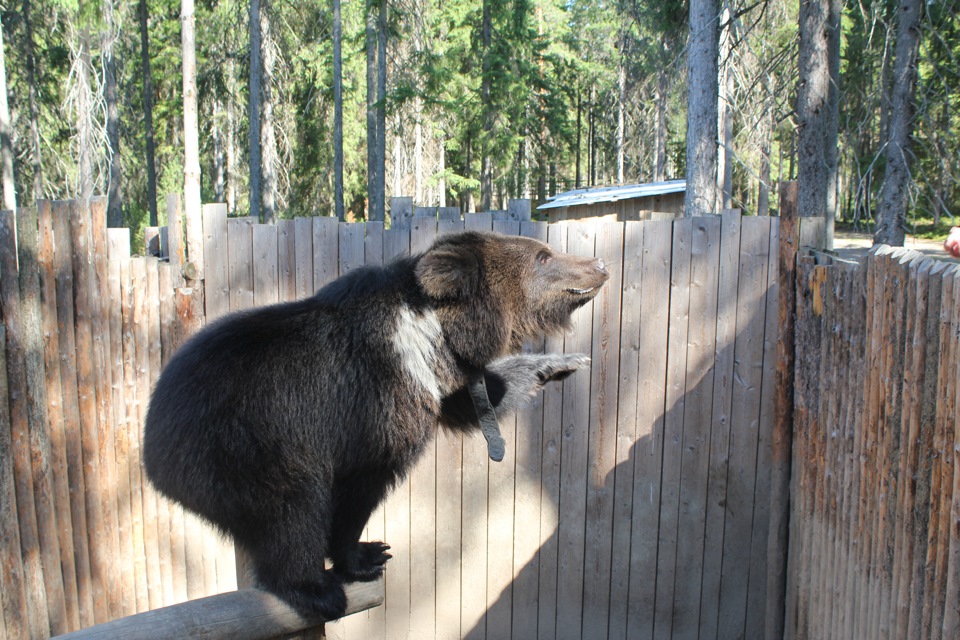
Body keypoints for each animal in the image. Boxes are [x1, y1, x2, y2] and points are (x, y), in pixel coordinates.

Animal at [142, 229, 608, 620]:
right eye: (543, 256)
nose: (600, 263)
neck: (433, 336)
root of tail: (152, 448)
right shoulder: (374, 404)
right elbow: (360, 485)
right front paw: (366, 554)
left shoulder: (440, 384)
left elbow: (481, 397)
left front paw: (561, 362)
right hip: (246, 444)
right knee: (290, 508)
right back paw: (314, 588)